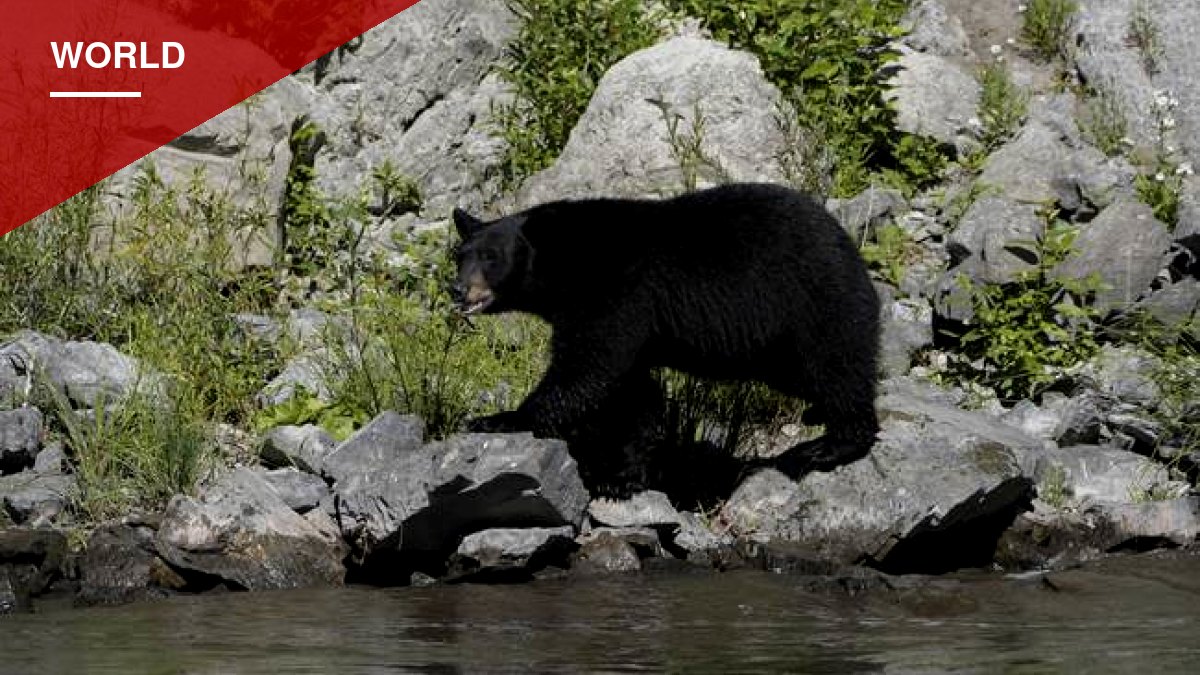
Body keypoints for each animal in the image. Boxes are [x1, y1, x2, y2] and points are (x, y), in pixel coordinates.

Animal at [451, 182, 881, 498]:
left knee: (837, 366)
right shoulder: (627, 320)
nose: (457, 289)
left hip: (811, 300)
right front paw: (625, 475)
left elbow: (586, 368)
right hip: (776, 348)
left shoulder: (614, 293)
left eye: (491, 257)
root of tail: (847, 242)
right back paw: (818, 415)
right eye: (461, 255)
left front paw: (497, 418)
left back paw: (830, 445)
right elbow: (634, 394)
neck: (567, 264)